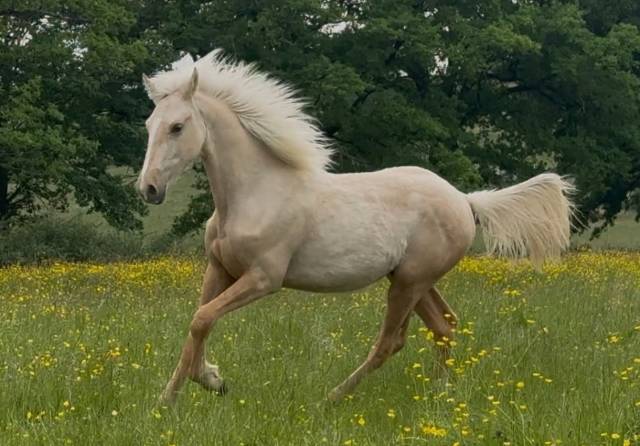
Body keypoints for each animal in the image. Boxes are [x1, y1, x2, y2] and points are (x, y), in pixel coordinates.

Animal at [137, 50, 574, 405]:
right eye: (149, 124)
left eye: (177, 127)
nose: (149, 188)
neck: (255, 193)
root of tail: (465, 201)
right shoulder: (220, 270)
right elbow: (198, 323)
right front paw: (177, 396)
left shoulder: (263, 278)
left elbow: (202, 319)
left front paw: (207, 383)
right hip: (412, 280)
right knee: (445, 326)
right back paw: (439, 395)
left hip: (409, 283)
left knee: (392, 341)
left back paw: (332, 398)